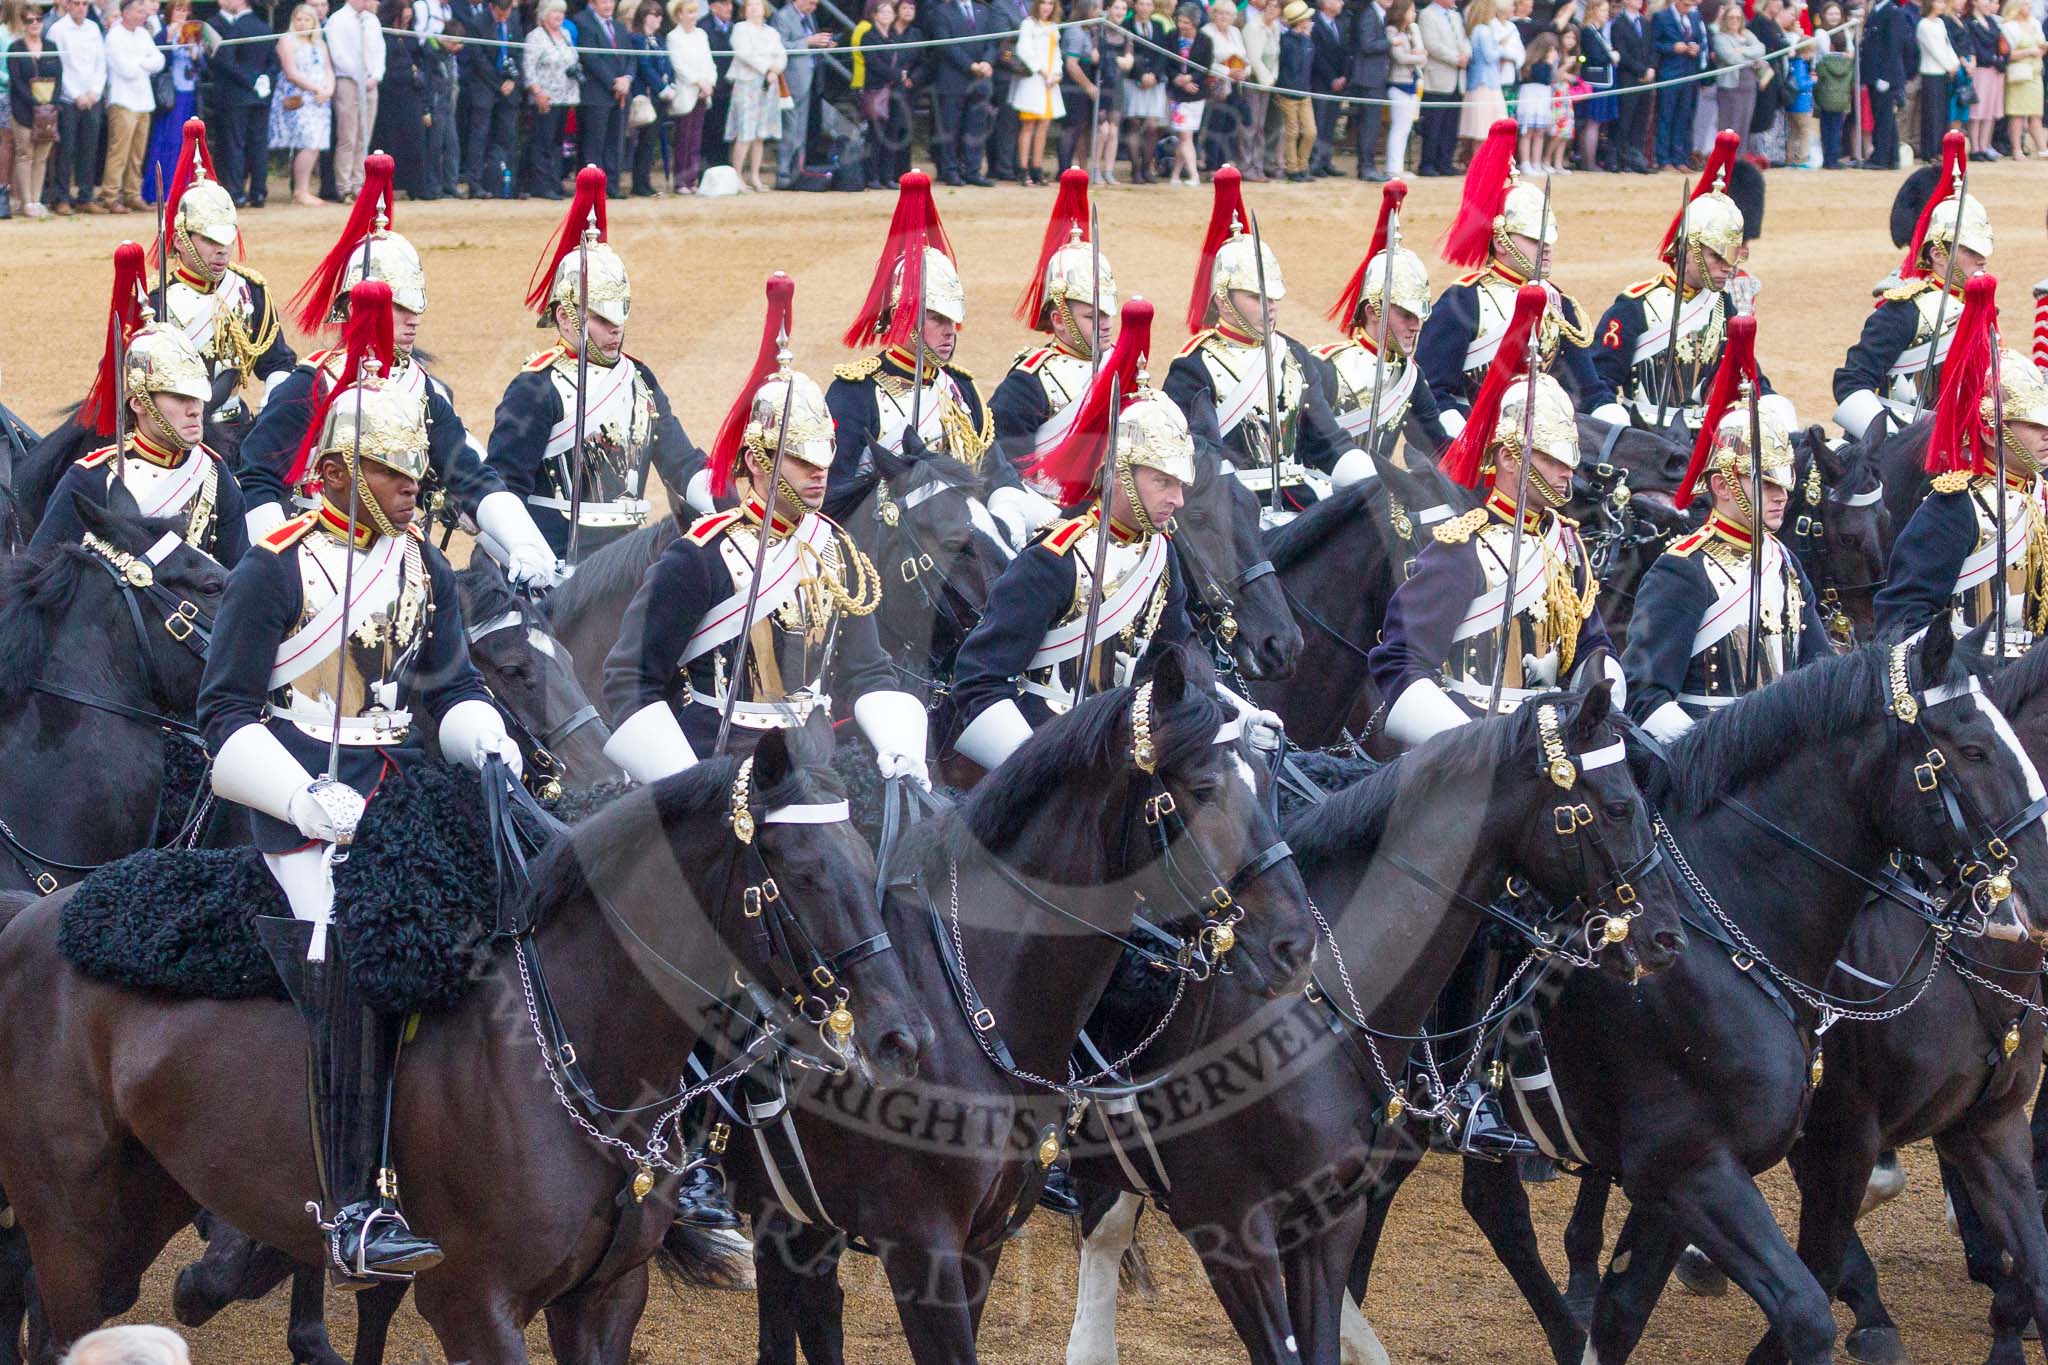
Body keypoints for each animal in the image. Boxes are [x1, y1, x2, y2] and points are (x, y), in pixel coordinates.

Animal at [0, 720, 929, 1358]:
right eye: (802, 871)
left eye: (864, 854)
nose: (902, 1035)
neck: (577, 1050)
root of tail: (37, 916)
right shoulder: (474, 1305)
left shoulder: (605, 1299)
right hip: (72, 1226)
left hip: (132, 1208)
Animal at [1351, 626, 2048, 1365]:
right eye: (1973, 749)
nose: (2039, 887)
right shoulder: (1719, 1162)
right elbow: (1808, 1301)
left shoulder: (1982, 1123)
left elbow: (1627, 1312)